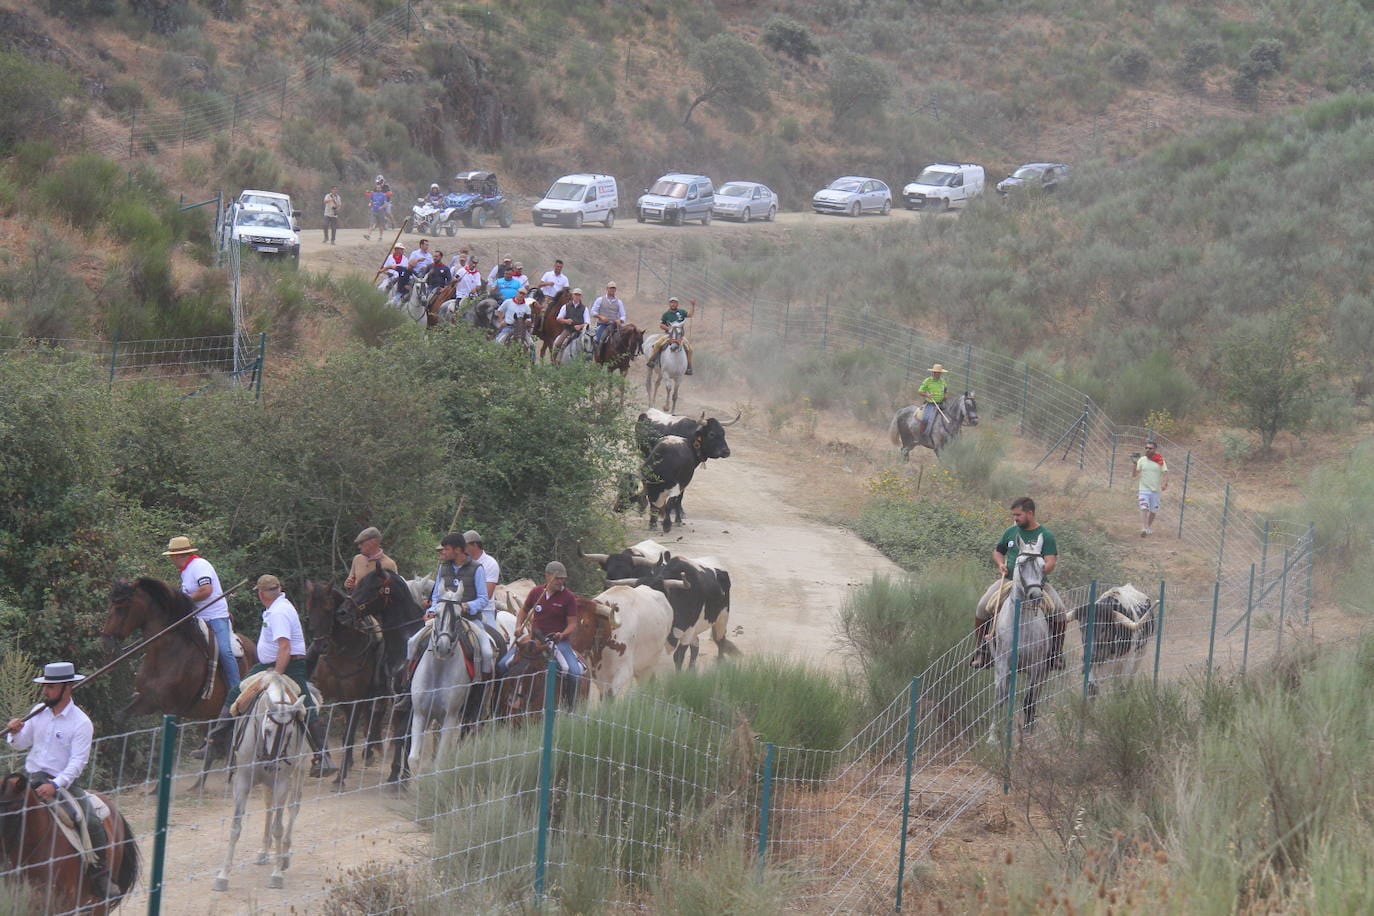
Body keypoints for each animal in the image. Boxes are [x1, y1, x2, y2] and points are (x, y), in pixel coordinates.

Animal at [211, 670, 309, 889]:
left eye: (290, 733)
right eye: (269, 730)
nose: (272, 764)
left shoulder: (282, 783)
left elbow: (278, 828)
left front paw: (277, 874)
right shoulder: (242, 782)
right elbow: (235, 827)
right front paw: (223, 875)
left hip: (299, 772)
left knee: (294, 807)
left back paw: (285, 856)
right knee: (269, 807)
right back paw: (265, 852)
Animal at [302, 579, 384, 791]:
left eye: (329, 609)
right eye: (309, 609)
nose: (320, 646)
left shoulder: (356, 697)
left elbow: (348, 734)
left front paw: (340, 778)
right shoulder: (329, 692)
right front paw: (322, 763)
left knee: (373, 717)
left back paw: (367, 754)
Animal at [346, 568, 425, 785]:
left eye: (374, 586)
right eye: (358, 583)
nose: (343, 611)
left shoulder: (411, 701)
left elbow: (404, 734)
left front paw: (402, 779)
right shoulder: (395, 697)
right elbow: (400, 735)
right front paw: (396, 774)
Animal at [983, 532, 1044, 741]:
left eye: (1043, 565)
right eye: (1022, 564)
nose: (1035, 595)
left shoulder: (1036, 666)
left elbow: (1029, 698)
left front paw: (1028, 730)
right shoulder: (1003, 663)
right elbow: (1000, 697)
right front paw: (993, 736)